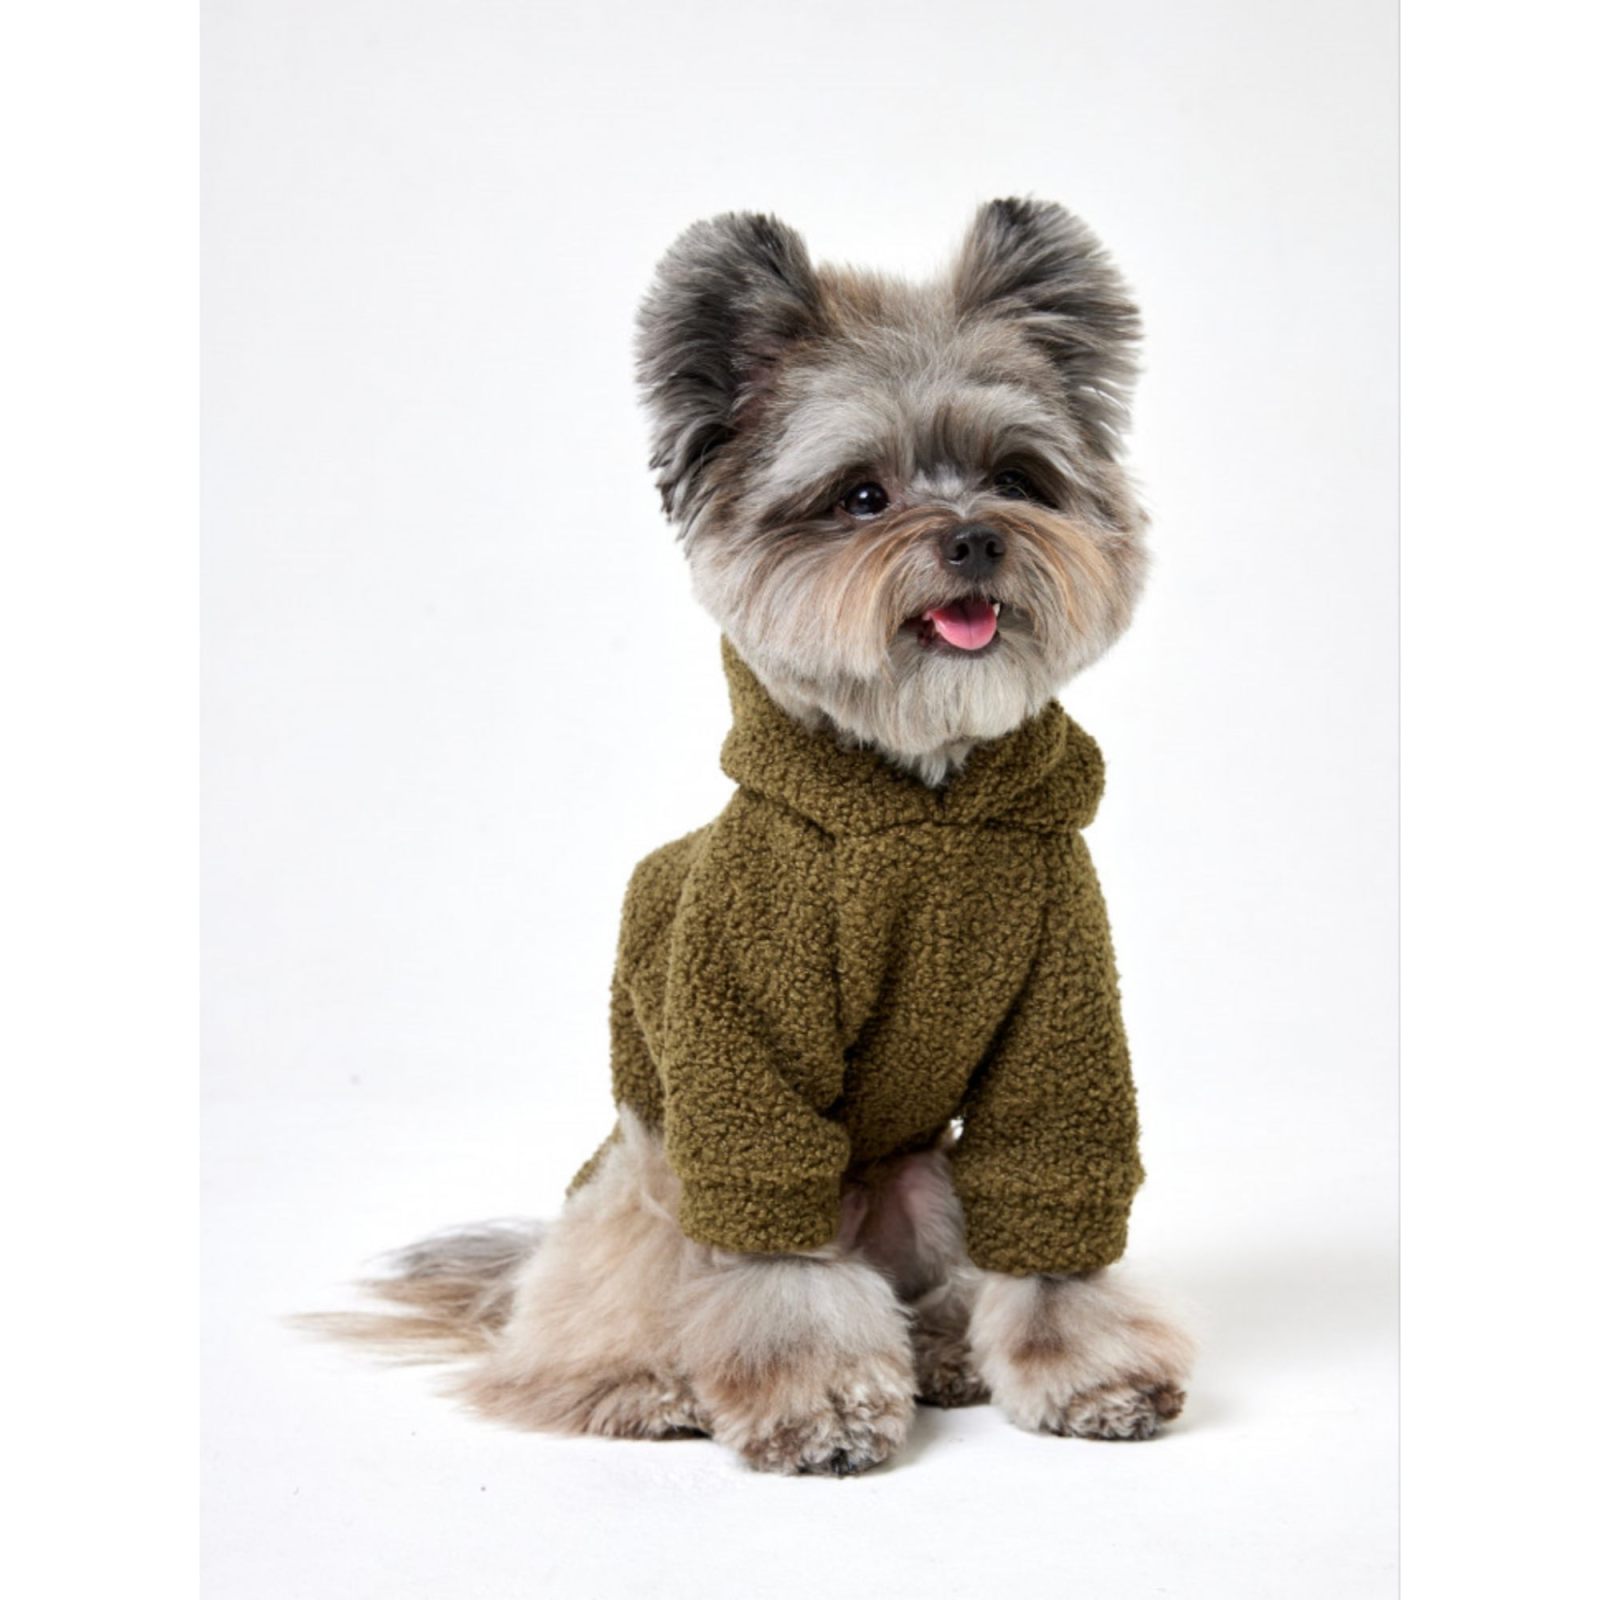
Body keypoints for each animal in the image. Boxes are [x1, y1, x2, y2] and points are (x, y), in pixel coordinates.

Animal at [316, 199, 1193, 1475]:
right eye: (863, 497)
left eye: (1015, 476)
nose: (976, 537)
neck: (919, 799)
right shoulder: (740, 1055)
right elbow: (778, 1259)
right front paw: (818, 1400)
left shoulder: (1059, 1028)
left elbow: (1050, 1216)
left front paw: (1086, 1369)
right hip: (642, 1180)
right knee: (584, 1318)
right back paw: (641, 1385)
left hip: (925, 1180)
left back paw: (940, 1353)